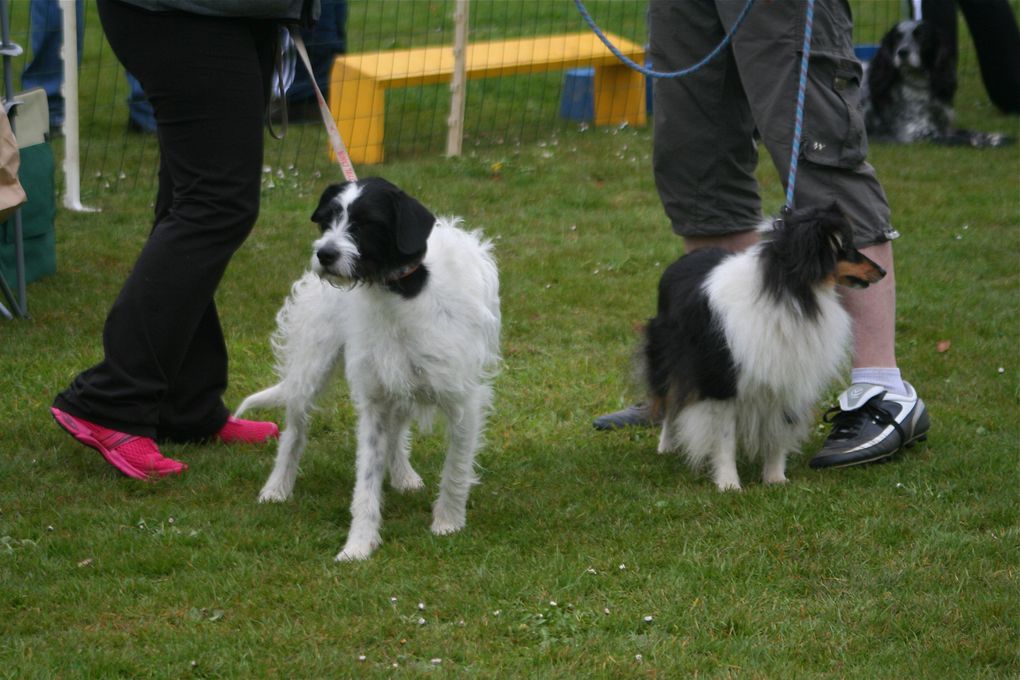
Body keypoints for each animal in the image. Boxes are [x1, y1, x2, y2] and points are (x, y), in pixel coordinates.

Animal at [242, 178, 505, 562]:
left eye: (366, 223)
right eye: (328, 220)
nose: (324, 254)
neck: (399, 292)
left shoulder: (462, 401)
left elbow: (456, 467)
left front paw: (448, 522)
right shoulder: (374, 401)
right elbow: (365, 481)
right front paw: (359, 544)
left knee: (396, 434)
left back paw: (403, 476)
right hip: (312, 368)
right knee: (294, 432)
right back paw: (277, 487)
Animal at [644, 201, 885, 489]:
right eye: (845, 246)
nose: (883, 272)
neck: (792, 291)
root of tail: (678, 263)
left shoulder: (789, 377)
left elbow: (778, 433)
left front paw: (775, 479)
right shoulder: (721, 381)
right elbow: (724, 438)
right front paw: (729, 484)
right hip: (667, 359)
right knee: (670, 403)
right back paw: (665, 446)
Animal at [860, 18, 1011, 146]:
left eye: (921, 36)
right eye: (897, 37)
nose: (902, 52)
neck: (918, 85)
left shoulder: (944, 127)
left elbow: (971, 132)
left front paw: (994, 137)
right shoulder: (917, 134)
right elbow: (961, 139)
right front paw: (990, 142)